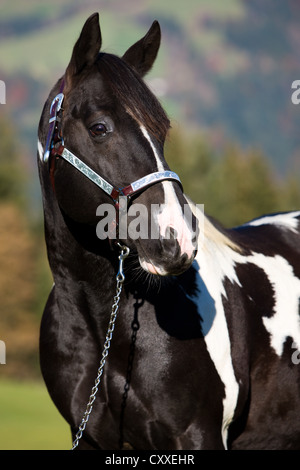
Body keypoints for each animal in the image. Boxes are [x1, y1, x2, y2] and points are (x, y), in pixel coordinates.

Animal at [37, 12, 300, 450]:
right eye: (99, 128)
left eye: (162, 131)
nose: (177, 239)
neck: (103, 330)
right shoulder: (86, 437)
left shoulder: (196, 435)